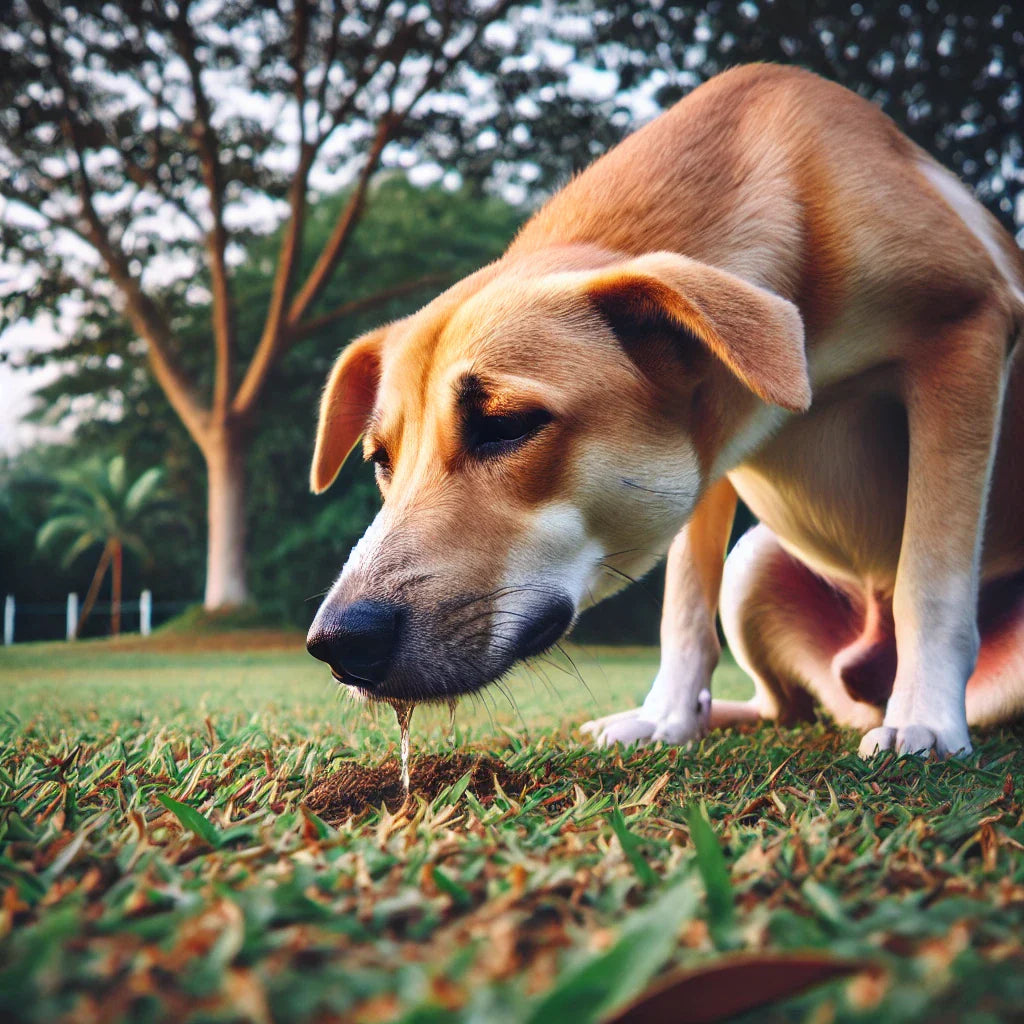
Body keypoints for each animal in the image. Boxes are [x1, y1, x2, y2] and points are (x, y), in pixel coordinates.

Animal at [305, 61, 1024, 753]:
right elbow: (683, 604)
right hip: (751, 571)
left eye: (505, 426)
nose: (337, 643)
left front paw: (925, 716)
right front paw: (666, 717)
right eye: (382, 459)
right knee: (783, 707)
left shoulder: (967, 334)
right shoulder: (708, 449)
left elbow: (931, 574)